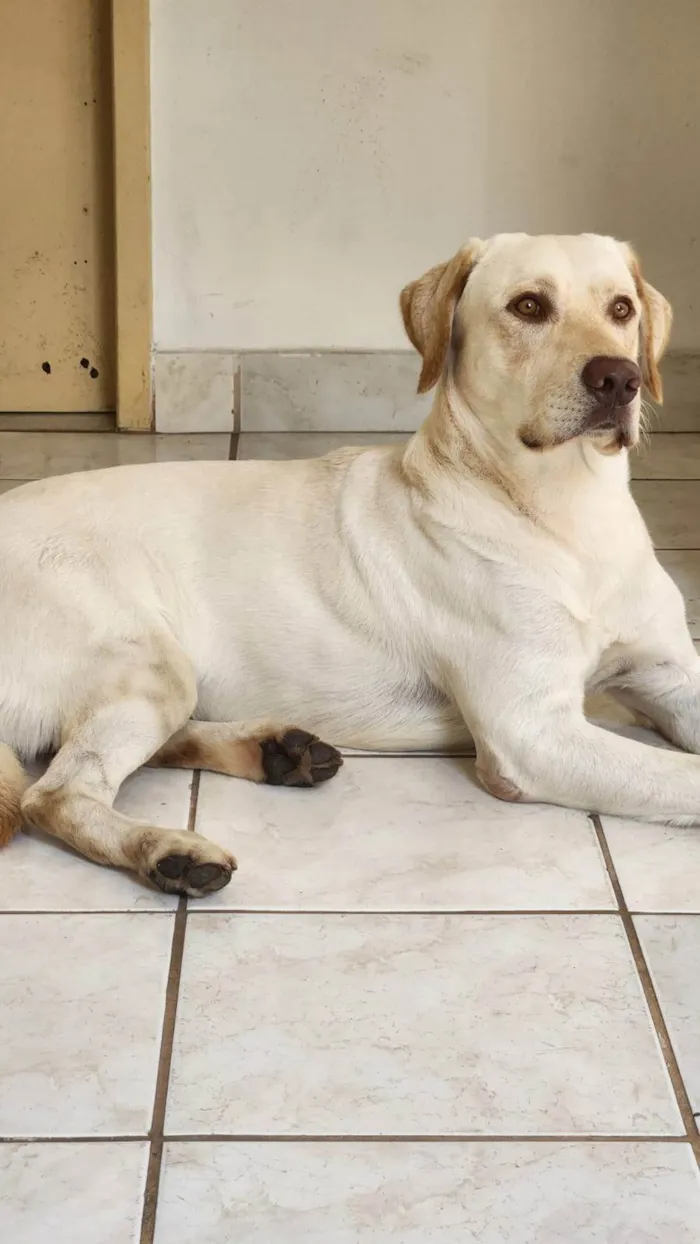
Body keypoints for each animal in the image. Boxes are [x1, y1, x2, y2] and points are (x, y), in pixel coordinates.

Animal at [2, 231, 696, 895]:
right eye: (529, 306)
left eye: (622, 308)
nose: (620, 378)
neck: (572, 519)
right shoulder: (533, 731)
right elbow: (684, 777)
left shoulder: (670, 677)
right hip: (150, 663)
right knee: (55, 794)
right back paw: (170, 851)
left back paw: (274, 751)